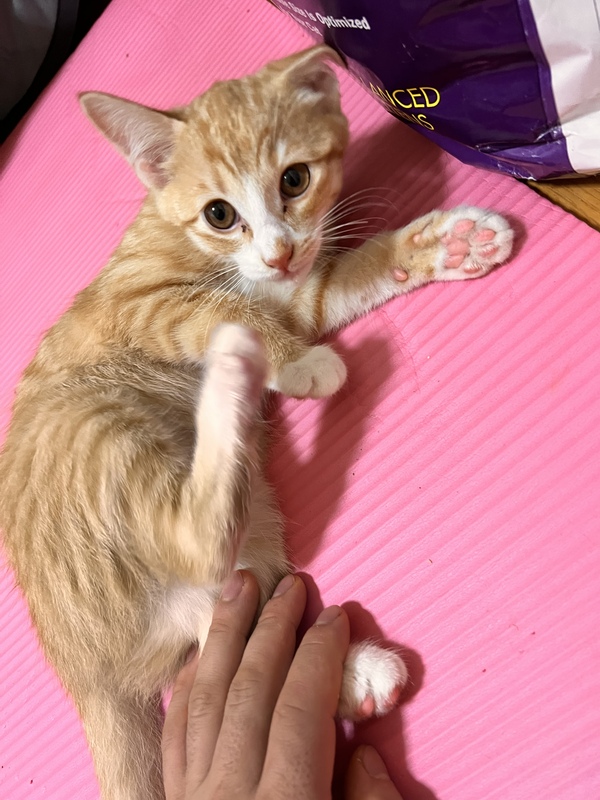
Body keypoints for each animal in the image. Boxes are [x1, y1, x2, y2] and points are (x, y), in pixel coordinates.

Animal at [0, 45, 514, 800]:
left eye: (294, 180)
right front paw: (293, 361)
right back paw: (229, 378)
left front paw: (453, 243)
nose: (277, 251)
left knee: (216, 605)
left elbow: (332, 282)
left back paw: (358, 674)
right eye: (219, 213)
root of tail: (81, 668)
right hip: (98, 426)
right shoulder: (141, 302)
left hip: (250, 532)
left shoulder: (299, 289)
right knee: (197, 539)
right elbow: (219, 310)